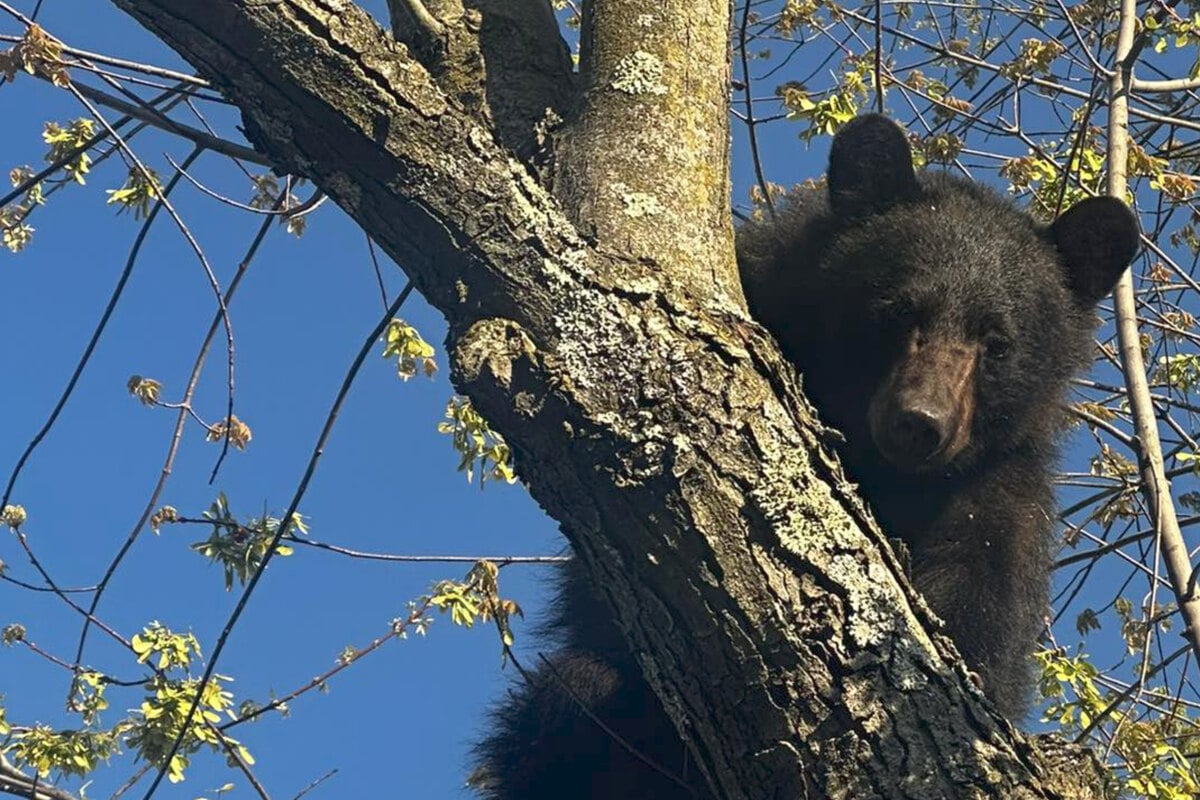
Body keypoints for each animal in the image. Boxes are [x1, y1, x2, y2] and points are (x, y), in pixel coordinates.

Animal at [469, 113, 1140, 800]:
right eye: (899, 309)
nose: (919, 423)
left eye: (997, 342)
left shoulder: (999, 498)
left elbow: (978, 614)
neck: (886, 473)